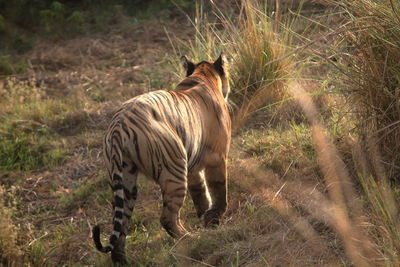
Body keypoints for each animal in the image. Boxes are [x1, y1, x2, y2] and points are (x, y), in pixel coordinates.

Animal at [92, 54, 231, 264]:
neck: (203, 76)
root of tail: (118, 126)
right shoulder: (217, 157)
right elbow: (218, 189)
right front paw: (215, 219)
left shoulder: (192, 167)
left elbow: (200, 192)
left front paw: (206, 218)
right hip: (173, 169)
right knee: (167, 218)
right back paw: (191, 239)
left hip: (125, 181)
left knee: (121, 225)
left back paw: (121, 261)